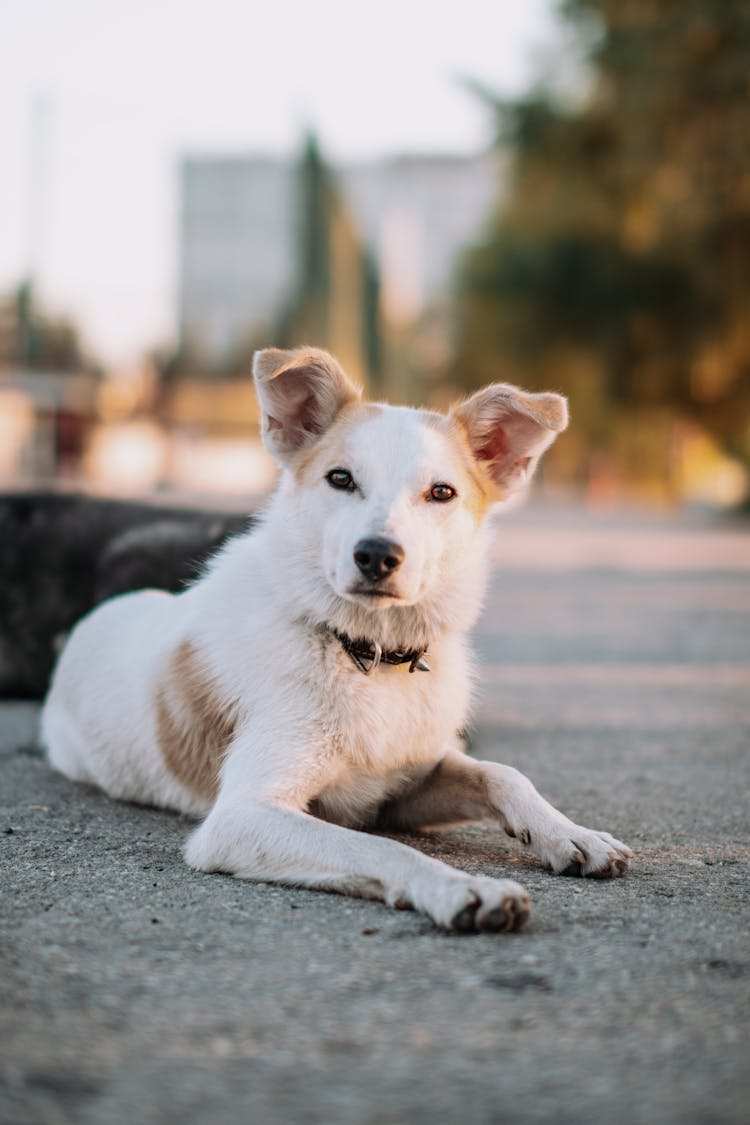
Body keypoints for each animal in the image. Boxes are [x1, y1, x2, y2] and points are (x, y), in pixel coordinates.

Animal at [42, 348, 634, 931]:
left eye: (441, 492)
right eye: (341, 479)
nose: (376, 555)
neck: (368, 653)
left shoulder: (403, 789)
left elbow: (502, 775)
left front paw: (570, 833)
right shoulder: (242, 817)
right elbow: (380, 849)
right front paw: (461, 888)